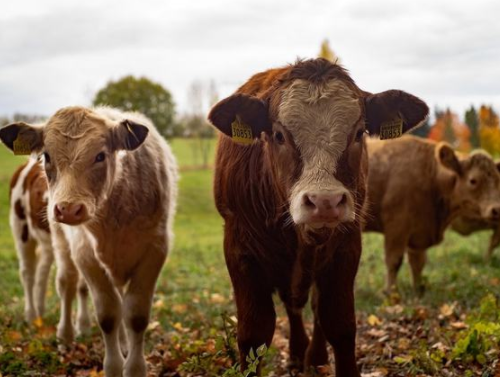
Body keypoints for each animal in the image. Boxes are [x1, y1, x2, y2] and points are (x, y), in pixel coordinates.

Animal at [0, 106, 179, 376]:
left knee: (47, 274)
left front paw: (133, 365)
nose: (67, 209)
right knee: (47, 278)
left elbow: (135, 315)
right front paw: (114, 367)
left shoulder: (155, 249)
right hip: (28, 232)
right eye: (47, 156)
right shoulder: (85, 253)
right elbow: (108, 314)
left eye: (100, 156)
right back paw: (48, 324)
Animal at [209, 58, 428, 374]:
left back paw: (314, 356)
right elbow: (254, 333)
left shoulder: (346, 247)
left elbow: (339, 323)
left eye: (359, 133)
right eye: (279, 135)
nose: (325, 201)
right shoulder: (239, 250)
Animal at [364, 137, 500, 296]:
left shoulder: (419, 232)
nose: (496, 209)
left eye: (498, 180)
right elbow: (394, 261)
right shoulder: (396, 227)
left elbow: (418, 263)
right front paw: (391, 293)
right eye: (473, 180)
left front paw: (418, 291)